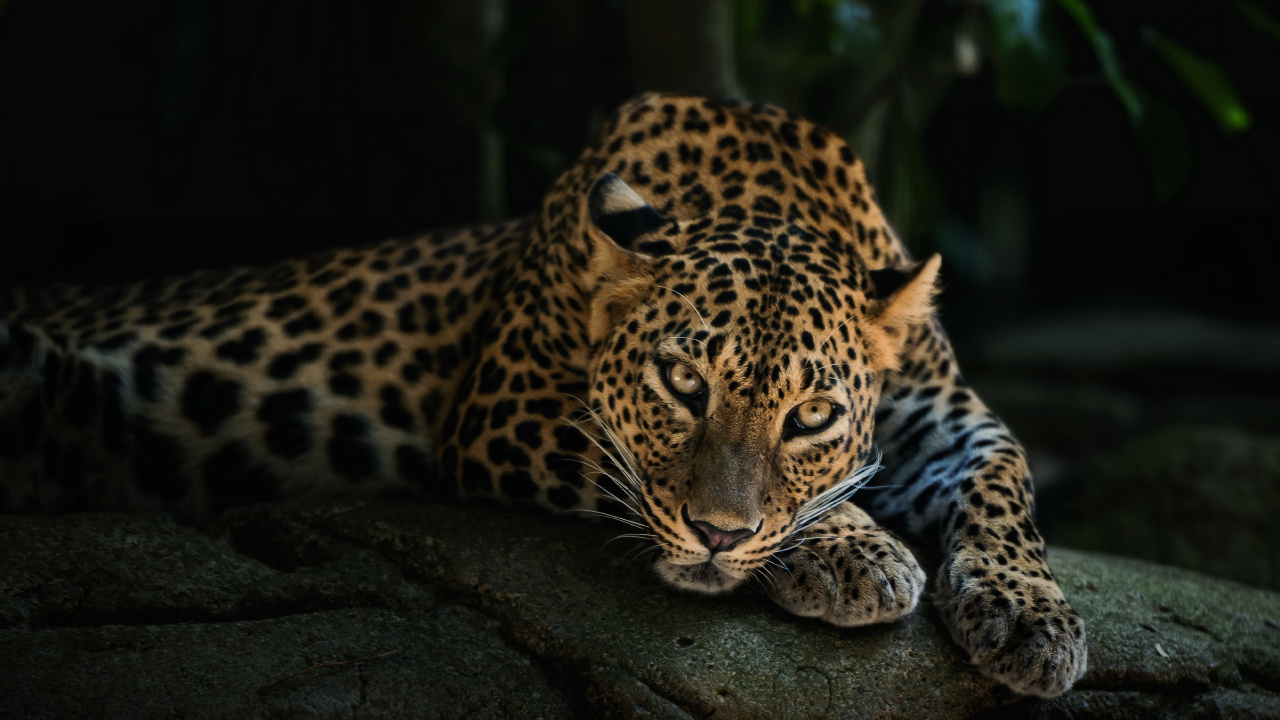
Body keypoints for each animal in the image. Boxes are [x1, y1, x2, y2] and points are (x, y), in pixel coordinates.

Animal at [0, 92, 1086, 697]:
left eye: (811, 416)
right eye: (681, 384)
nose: (719, 538)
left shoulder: (947, 416)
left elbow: (1006, 482)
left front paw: (1031, 617)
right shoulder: (504, 411)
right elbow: (641, 472)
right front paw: (857, 550)